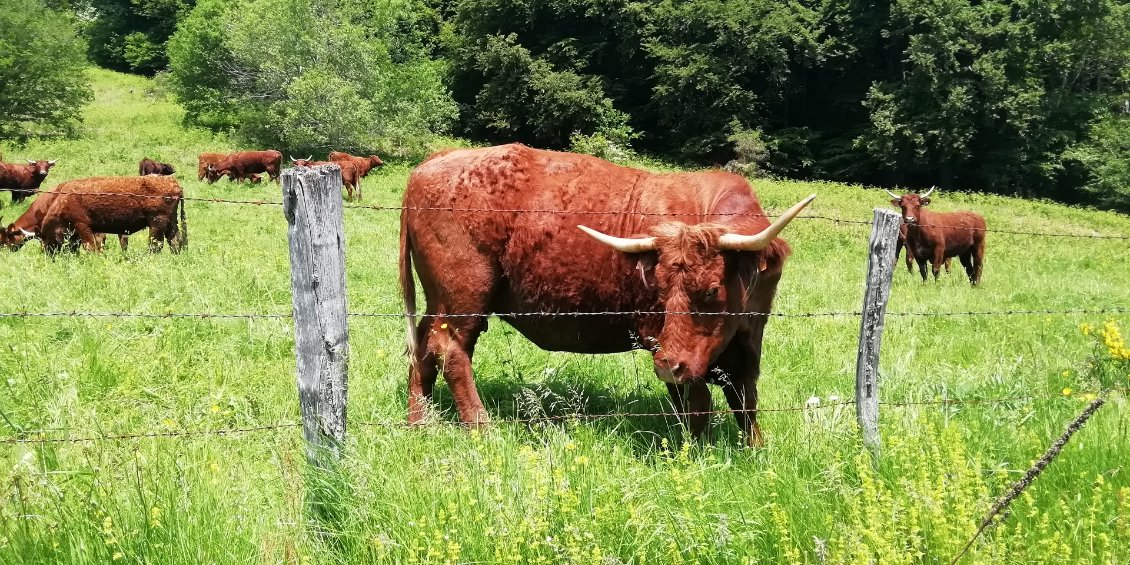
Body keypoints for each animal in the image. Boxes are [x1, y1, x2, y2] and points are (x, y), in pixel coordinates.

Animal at [39, 174, 185, 254]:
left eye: (46, 237)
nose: (48, 254)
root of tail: (173, 183)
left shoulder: (82, 225)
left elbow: (90, 246)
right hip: (170, 221)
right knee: (175, 241)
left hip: (157, 223)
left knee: (156, 244)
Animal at [402, 142, 818, 445]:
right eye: (659, 290)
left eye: (713, 289)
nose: (667, 364)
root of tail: (435, 161)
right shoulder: (663, 340)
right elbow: (698, 402)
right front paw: (697, 451)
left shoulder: (748, 338)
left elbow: (745, 398)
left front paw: (755, 447)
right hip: (463, 299)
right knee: (450, 352)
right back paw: (482, 428)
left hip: (439, 300)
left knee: (422, 349)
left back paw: (418, 423)